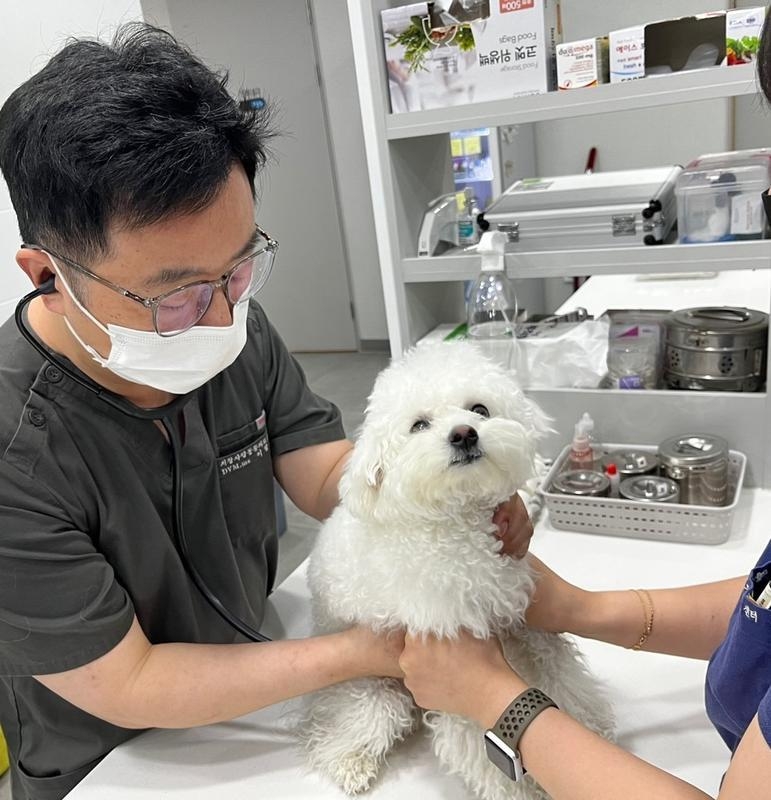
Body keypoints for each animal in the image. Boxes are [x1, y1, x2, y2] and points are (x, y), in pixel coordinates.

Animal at [302, 342, 616, 800]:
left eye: (479, 409)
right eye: (419, 425)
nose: (464, 433)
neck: (459, 525)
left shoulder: (524, 623)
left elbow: (564, 681)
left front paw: (591, 730)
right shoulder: (451, 660)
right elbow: (479, 740)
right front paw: (521, 792)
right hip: (372, 689)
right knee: (351, 725)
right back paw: (351, 763)